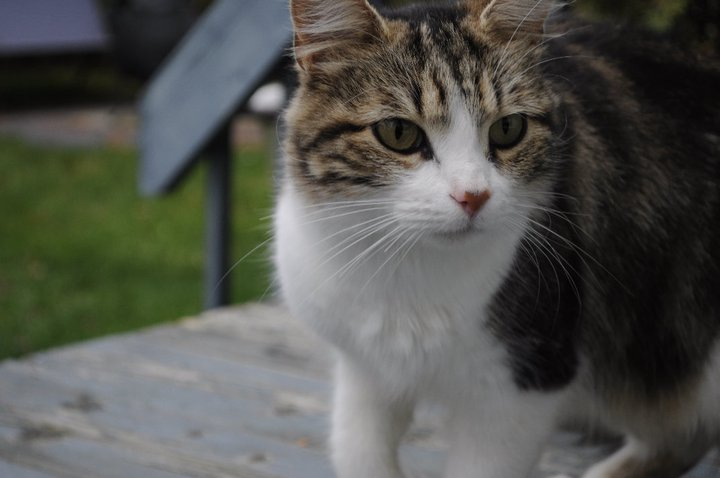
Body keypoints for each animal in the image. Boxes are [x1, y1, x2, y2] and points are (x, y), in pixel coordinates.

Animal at [272, 0, 720, 478]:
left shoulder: (520, 385)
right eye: (398, 132)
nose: (473, 195)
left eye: (508, 129)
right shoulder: (365, 370)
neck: (405, 269)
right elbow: (359, 452)